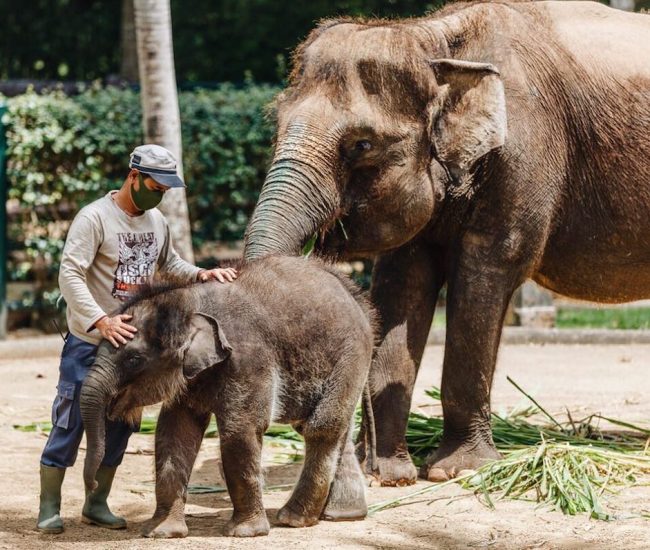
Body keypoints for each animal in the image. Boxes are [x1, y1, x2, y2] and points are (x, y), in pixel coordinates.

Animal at [79, 255, 375, 538]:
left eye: (134, 359)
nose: (92, 483)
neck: (189, 301)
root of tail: (357, 295)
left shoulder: (248, 358)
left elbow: (240, 430)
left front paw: (245, 533)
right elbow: (175, 429)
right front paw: (161, 533)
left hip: (351, 355)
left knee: (322, 426)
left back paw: (294, 518)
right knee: (334, 426)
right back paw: (337, 514)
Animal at [243, 1, 650, 486]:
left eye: (361, 144)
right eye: (276, 123)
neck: (434, 41)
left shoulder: (526, 153)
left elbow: (486, 273)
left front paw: (456, 471)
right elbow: (403, 283)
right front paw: (385, 475)